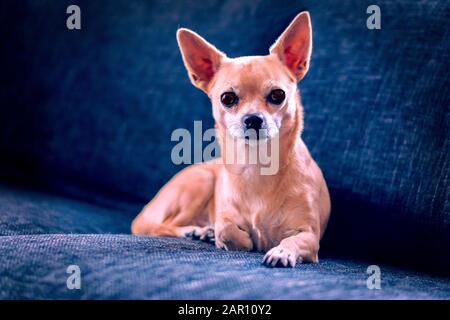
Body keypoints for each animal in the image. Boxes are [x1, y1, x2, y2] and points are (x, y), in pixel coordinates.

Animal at [131, 11, 330, 268]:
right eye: (227, 98)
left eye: (278, 95)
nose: (253, 119)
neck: (257, 166)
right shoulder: (226, 217)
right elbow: (226, 229)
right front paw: (228, 238)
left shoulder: (309, 237)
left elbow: (292, 240)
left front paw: (281, 251)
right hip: (202, 180)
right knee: (163, 226)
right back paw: (196, 231)